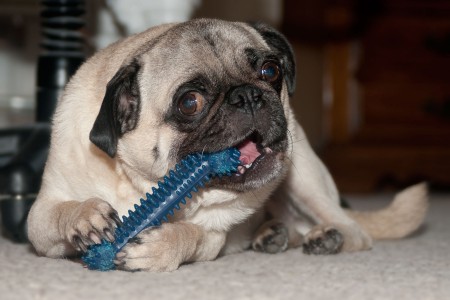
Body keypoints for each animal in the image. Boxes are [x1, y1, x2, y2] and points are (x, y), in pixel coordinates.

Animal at [27, 18, 428, 272]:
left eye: (271, 71)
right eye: (190, 102)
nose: (248, 95)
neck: (138, 184)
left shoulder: (212, 238)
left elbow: (191, 235)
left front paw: (160, 246)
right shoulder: (40, 219)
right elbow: (55, 215)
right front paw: (86, 216)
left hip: (304, 178)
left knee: (353, 228)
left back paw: (328, 237)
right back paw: (272, 233)